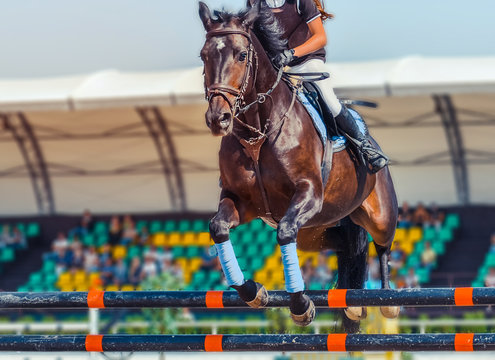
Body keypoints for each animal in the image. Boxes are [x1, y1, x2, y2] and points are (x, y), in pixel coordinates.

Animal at [199, 0, 400, 332]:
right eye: (204, 56)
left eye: (241, 55)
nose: (218, 119)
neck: (259, 132)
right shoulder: (240, 200)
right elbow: (219, 228)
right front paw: (253, 292)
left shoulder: (308, 193)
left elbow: (283, 232)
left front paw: (300, 305)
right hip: (314, 232)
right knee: (347, 245)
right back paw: (353, 304)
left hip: (379, 212)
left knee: (383, 244)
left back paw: (386, 300)